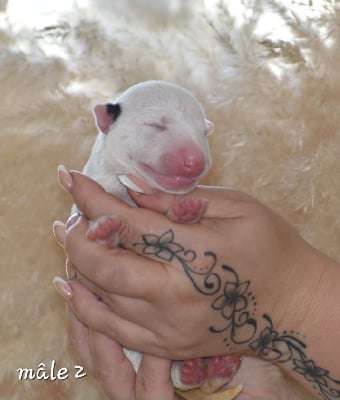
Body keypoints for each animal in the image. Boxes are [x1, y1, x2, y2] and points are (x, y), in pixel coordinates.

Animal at [77, 80, 242, 396]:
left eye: (203, 132)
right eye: (155, 125)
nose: (195, 162)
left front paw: (186, 212)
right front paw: (105, 231)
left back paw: (216, 370)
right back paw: (194, 373)